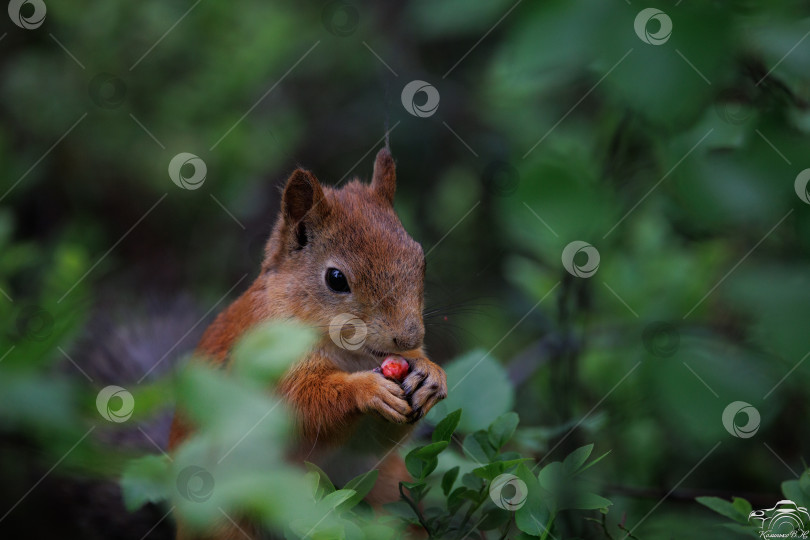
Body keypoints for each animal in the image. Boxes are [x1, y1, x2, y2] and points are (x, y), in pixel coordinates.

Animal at [169, 149, 448, 540]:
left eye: (421, 259)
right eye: (336, 279)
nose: (408, 338)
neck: (350, 356)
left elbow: (375, 441)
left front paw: (431, 376)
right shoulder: (264, 361)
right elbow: (302, 406)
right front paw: (365, 390)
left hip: (388, 484)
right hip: (224, 515)